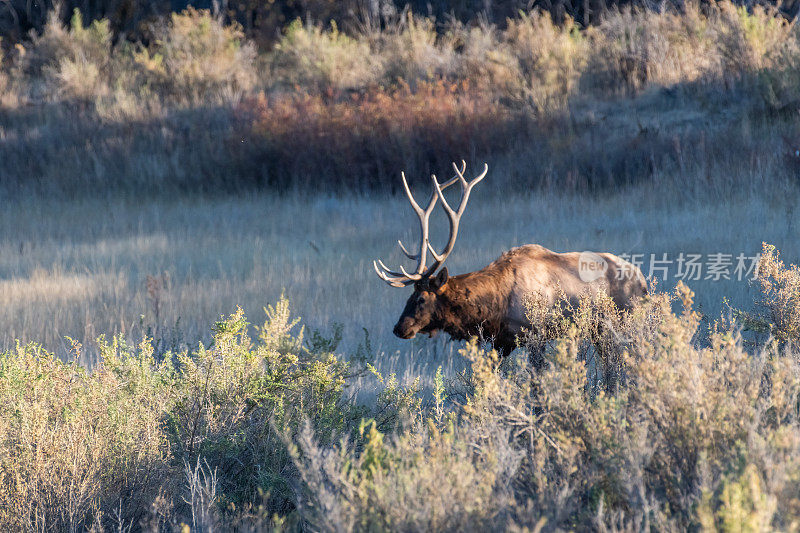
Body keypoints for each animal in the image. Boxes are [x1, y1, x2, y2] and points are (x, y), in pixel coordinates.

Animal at [376, 159, 648, 358]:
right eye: (408, 296)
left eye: (421, 298)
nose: (399, 328)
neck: (496, 305)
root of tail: (643, 281)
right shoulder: (502, 342)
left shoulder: (535, 333)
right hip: (599, 331)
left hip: (625, 320)